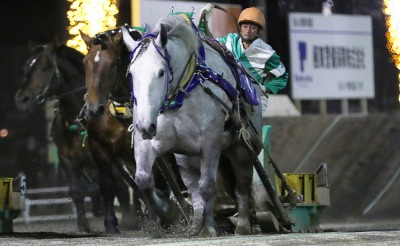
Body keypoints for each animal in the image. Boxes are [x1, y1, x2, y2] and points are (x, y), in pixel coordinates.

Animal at [14, 40, 132, 233]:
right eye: (26, 67)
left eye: (45, 67)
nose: (21, 99)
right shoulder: (67, 159)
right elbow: (77, 191)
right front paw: (83, 225)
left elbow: (111, 187)